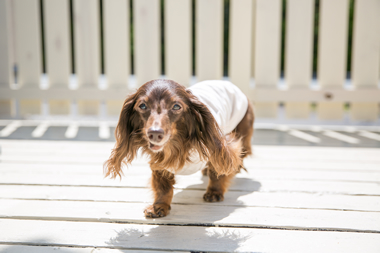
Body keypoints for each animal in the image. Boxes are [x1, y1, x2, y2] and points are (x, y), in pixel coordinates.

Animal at [104, 79, 254, 217]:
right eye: (142, 105)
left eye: (176, 106)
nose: (155, 133)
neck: (176, 147)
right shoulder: (159, 163)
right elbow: (163, 188)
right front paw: (159, 206)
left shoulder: (221, 146)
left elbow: (218, 171)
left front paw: (214, 192)